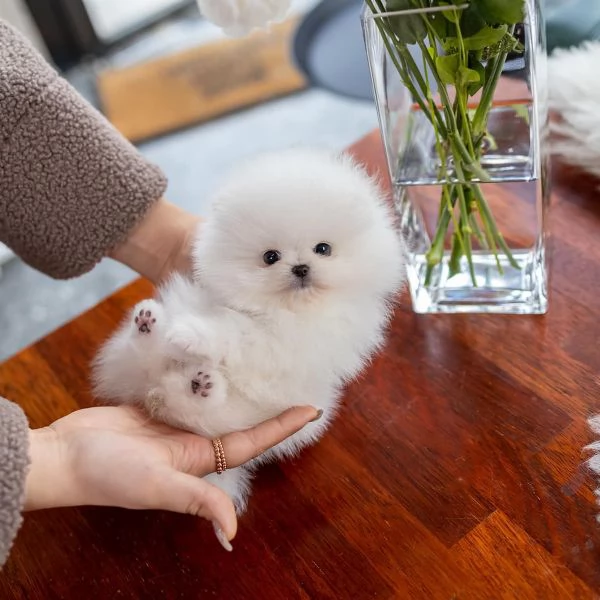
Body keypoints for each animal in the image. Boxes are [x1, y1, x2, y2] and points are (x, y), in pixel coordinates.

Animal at [92, 148, 404, 512]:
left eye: (323, 249)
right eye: (270, 257)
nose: (301, 268)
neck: (284, 309)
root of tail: (150, 395)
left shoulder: (283, 342)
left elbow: (232, 332)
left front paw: (189, 336)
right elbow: (226, 322)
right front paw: (183, 334)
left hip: (233, 414)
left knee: (191, 411)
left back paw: (199, 383)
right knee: (149, 364)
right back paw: (149, 325)